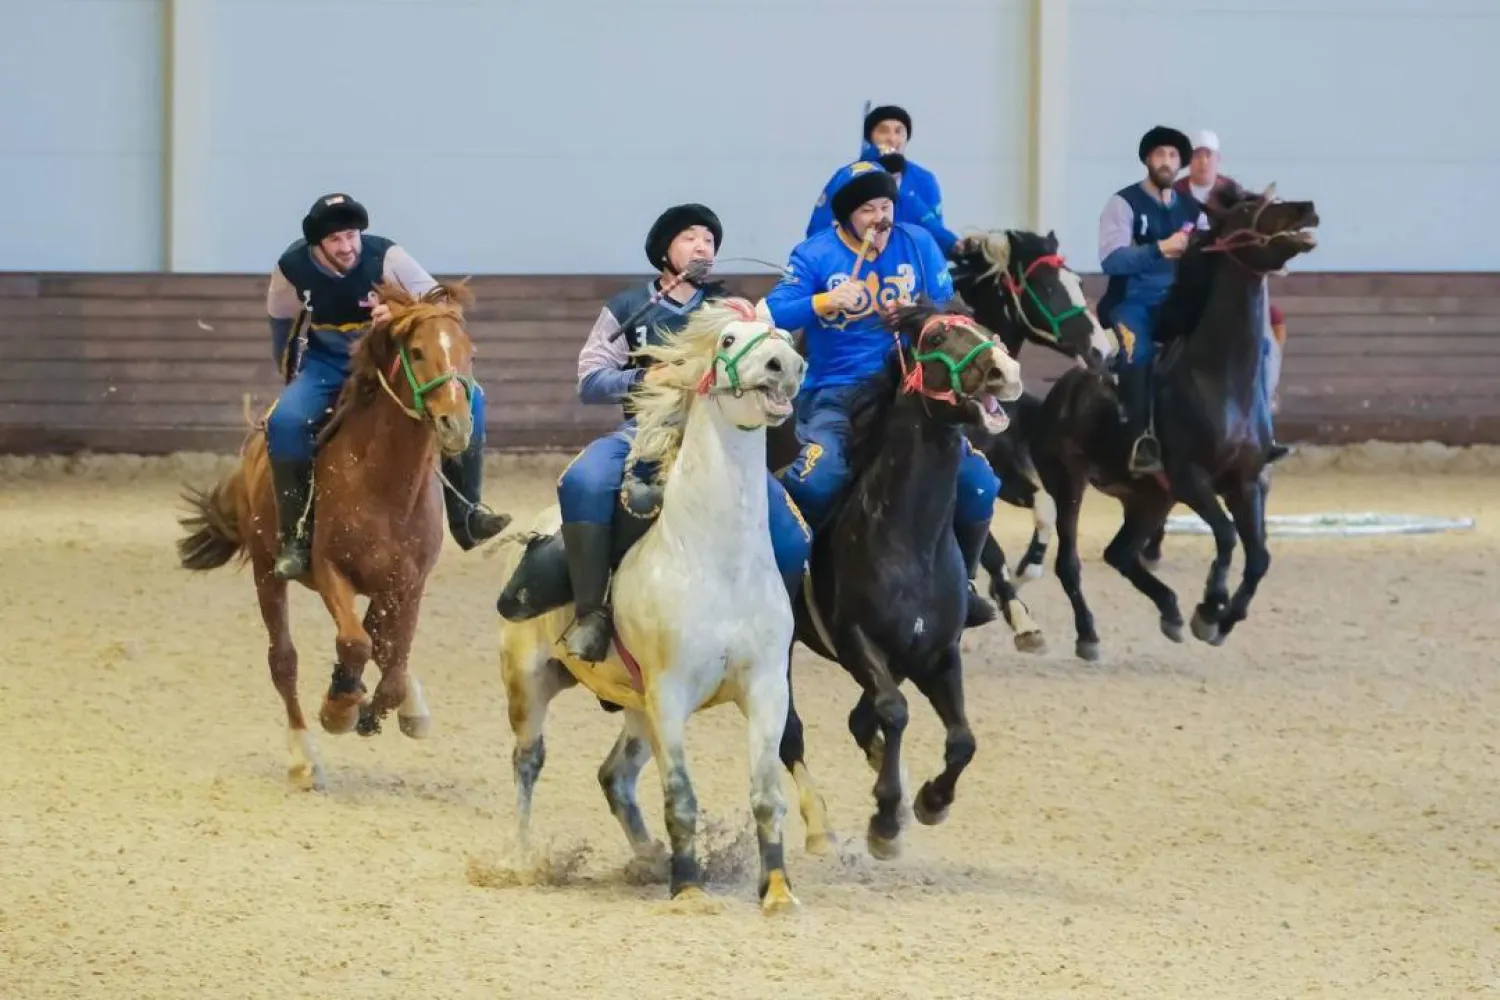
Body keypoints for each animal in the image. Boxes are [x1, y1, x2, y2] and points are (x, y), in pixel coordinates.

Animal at [174, 280, 492, 791]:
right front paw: (340, 708)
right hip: (267, 573)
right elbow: (356, 643)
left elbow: (391, 660)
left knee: (380, 643)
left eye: (470, 353)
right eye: (418, 351)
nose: (456, 424)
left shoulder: (408, 583)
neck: (384, 483)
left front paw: (384, 707)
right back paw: (304, 756)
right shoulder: (329, 570)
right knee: (284, 661)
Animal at [492, 299, 810, 917]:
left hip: (634, 709)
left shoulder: (766, 687)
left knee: (613, 777)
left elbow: (766, 794)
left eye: (780, 334)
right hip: (530, 683)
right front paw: (689, 889)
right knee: (527, 762)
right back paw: (519, 860)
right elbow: (681, 796)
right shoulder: (670, 693)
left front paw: (778, 890)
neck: (713, 561)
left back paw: (648, 858)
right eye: (729, 338)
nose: (785, 365)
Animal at [768, 296, 1026, 863]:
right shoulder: (857, 641)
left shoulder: (937, 651)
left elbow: (962, 739)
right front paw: (886, 819)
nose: (1005, 371)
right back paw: (821, 826)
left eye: (984, 327)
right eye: (936, 339)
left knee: (858, 722)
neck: (909, 543)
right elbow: (895, 710)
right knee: (790, 733)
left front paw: (930, 801)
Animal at [942, 227, 1122, 653]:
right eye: (1049, 288)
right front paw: (1018, 614)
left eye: (1078, 283)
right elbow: (990, 549)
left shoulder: (1001, 469)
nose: (1102, 350)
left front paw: (1028, 571)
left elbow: (1045, 508)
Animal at [1020, 183, 1326, 659]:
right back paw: (1090, 635)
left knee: (1120, 554)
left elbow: (1259, 557)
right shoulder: (1190, 478)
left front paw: (1223, 619)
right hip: (1069, 484)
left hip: (1150, 499)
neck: (1220, 378)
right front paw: (1211, 606)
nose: (1306, 208)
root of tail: (1056, 397)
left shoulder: (1246, 481)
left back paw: (1170, 611)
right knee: (1069, 563)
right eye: (1246, 210)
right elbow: (1226, 536)